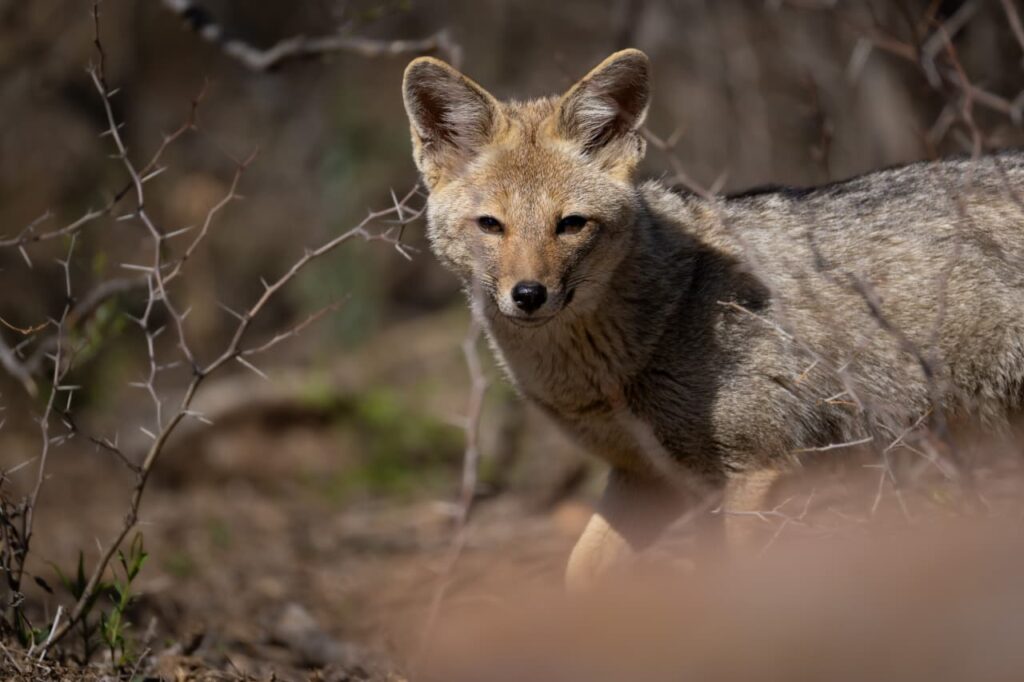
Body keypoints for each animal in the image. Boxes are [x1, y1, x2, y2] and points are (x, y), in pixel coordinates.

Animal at [401, 49, 1024, 589]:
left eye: (570, 225)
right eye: (492, 225)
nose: (529, 295)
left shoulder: (760, 466)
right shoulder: (648, 480)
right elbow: (580, 574)